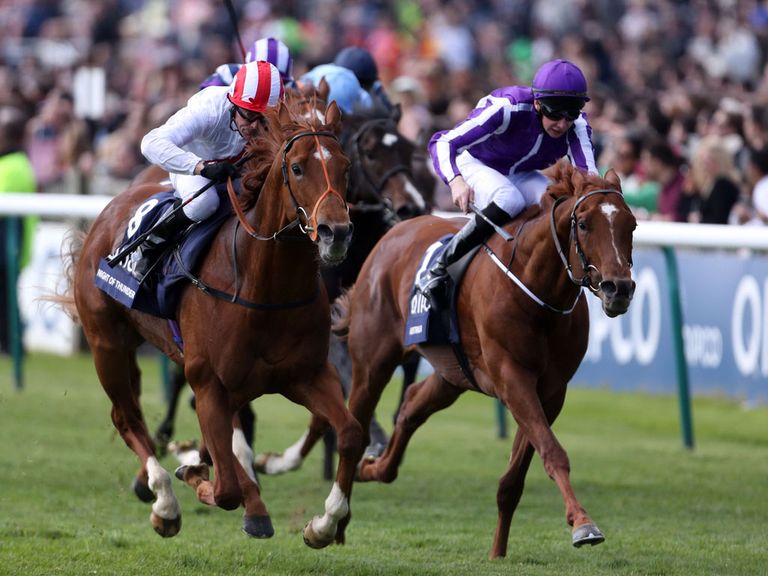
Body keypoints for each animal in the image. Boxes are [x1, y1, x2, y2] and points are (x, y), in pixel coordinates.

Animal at [63, 101, 364, 548]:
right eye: (296, 167)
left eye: (345, 166)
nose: (336, 233)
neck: (265, 287)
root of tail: (107, 213)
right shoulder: (208, 381)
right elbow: (224, 489)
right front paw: (193, 476)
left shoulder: (307, 374)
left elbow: (349, 433)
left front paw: (324, 524)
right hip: (107, 344)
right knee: (127, 417)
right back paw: (166, 501)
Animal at [336, 162, 636, 560]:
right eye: (584, 224)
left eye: (631, 225)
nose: (619, 288)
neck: (537, 289)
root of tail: (393, 233)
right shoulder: (513, 378)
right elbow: (553, 452)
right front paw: (584, 524)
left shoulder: (551, 391)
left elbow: (514, 478)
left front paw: (498, 551)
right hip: (373, 362)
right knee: (356, 428)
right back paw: (331, 523)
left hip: (452, 373)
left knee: (411, 405)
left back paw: (372, 471)